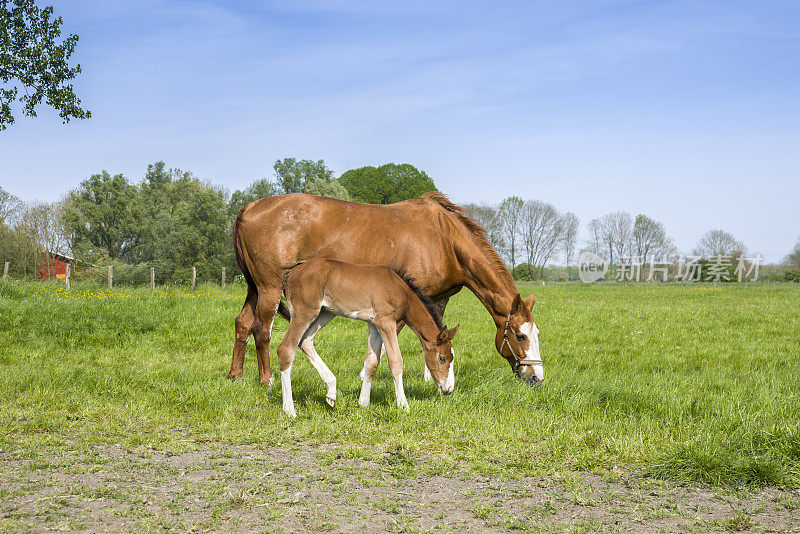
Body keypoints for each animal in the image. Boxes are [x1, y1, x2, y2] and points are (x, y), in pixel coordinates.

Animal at [278, 260, 460, 418]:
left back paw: (331, 391)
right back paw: (289, 410)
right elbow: (395, 361)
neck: (401, 291)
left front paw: (364, 403)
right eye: (442, 358)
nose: (449, 389)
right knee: (286, 349)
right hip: (305, 311)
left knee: (305, 341)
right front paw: (403, 405)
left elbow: (372, 362)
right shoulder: (386, 322)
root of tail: (292, 271)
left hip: (325, 312)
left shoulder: (374, 324)